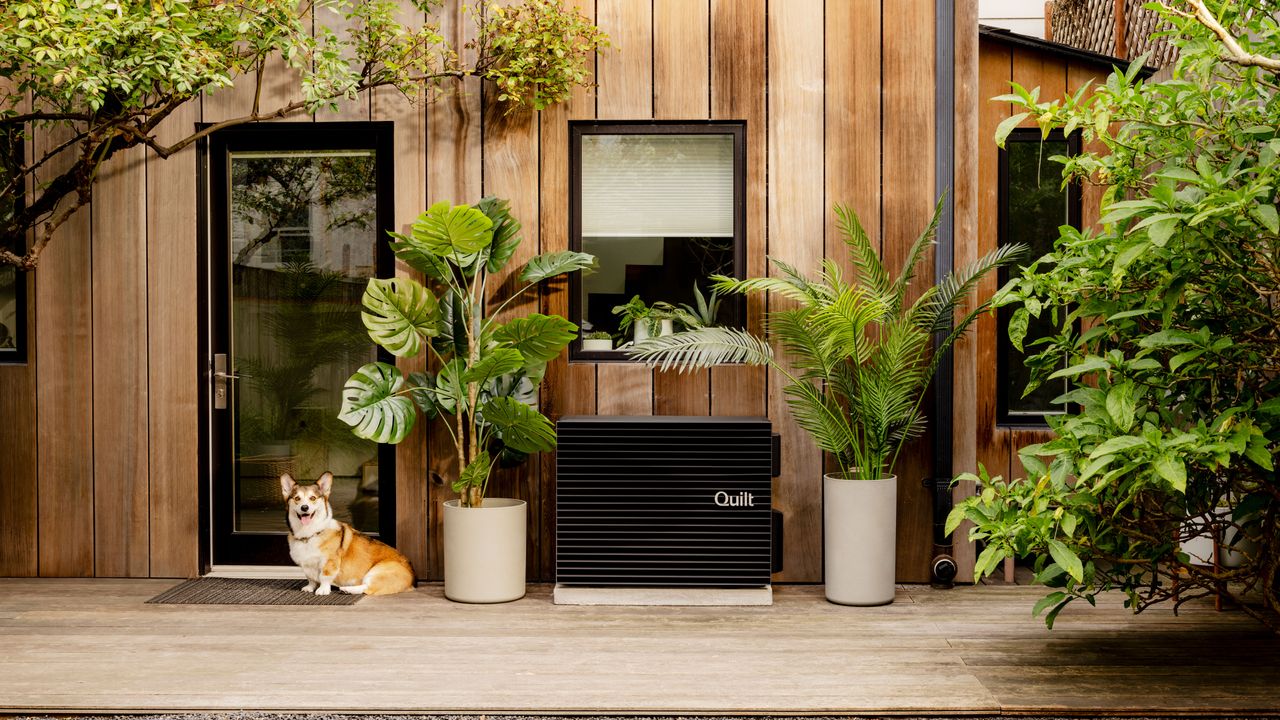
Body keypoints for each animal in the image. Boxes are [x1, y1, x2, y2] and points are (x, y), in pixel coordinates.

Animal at [280, 471, 414, 594]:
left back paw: (347, 589)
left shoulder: (329, 562)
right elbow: (311, 579)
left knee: (368, 588)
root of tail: (412, 577)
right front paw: (309, 587)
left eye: (312, 498)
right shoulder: (307, 567)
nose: (304, 507)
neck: (309, 534)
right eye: (297, 498)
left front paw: (323, 590)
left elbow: (324, 577)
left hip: (376, 572)